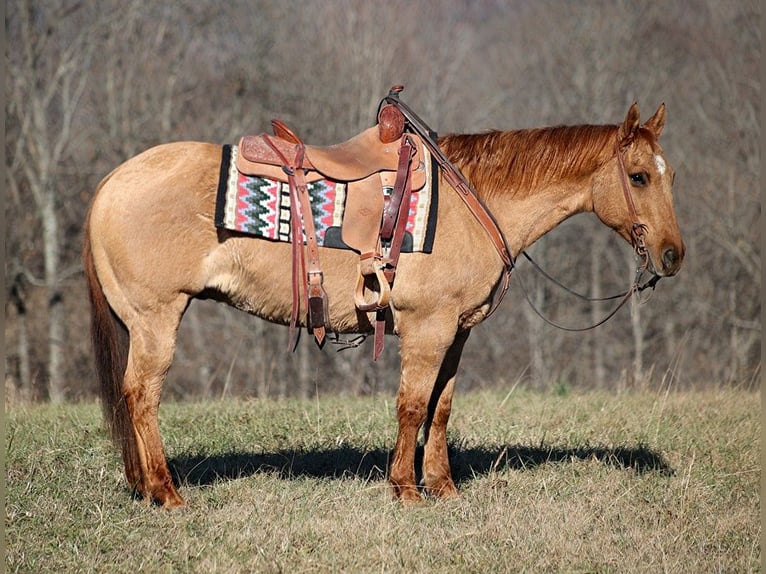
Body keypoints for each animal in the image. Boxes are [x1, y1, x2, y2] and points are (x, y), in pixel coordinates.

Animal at [82, 99, 684, 508]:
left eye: (669, 174)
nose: (673, 255)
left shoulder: (456, 332)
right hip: (157, 319)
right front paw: (405, 488)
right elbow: (412, 405)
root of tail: (111, 183)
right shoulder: (427, 329)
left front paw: (442, 486)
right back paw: (166, 492)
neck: (472, 200)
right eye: (638, 176)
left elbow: (441, 408)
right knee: (141, 395)